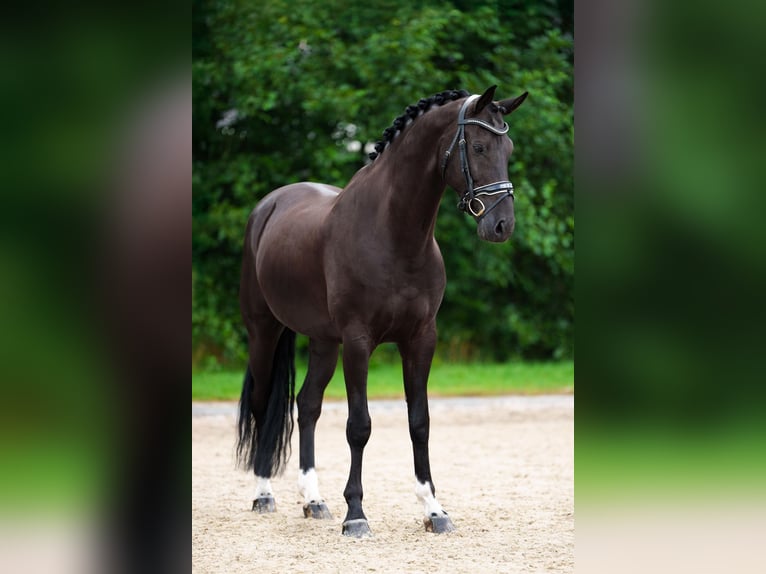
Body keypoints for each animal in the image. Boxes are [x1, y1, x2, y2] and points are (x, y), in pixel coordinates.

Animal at [237, 85, 528, 537]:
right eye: (479, 146)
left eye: (508, 148)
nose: (501, 226)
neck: (394, 234)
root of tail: (267, 206)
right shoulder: (359, 341)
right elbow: (359, 426)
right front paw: (356, 514)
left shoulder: (421, 339)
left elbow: (419, 422)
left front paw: (434, 510)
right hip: (264, 332)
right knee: (263, 403)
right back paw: (264, 494)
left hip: (323, 341)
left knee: (307, 405)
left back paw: (313, 500)